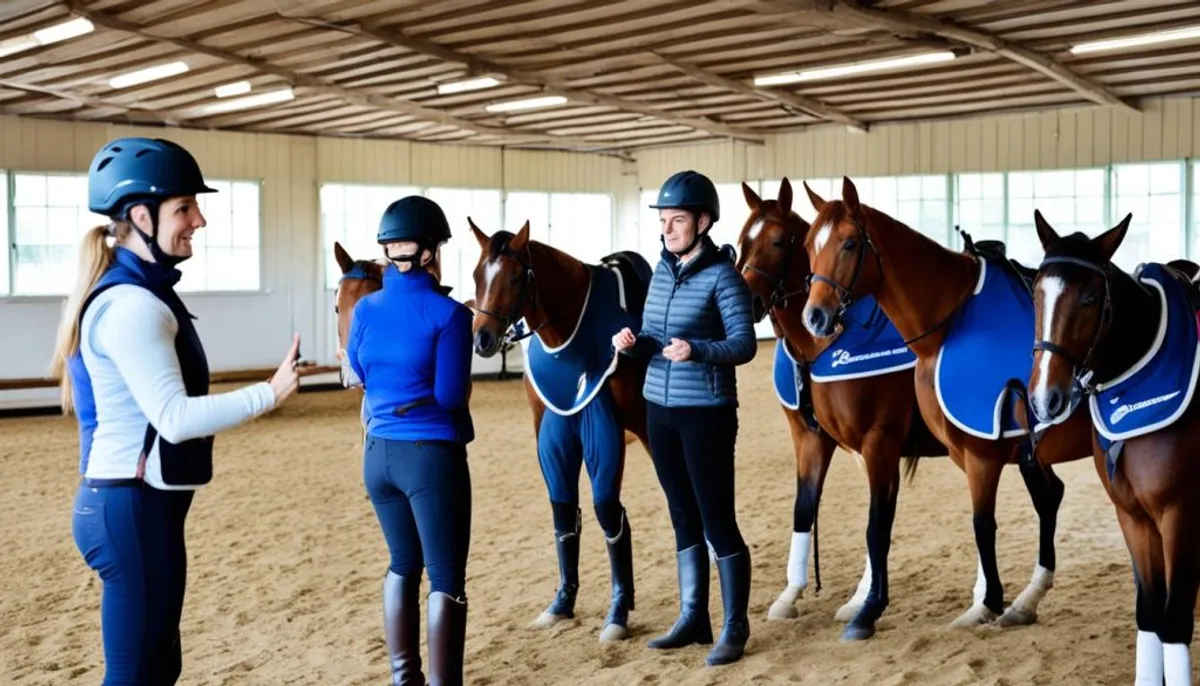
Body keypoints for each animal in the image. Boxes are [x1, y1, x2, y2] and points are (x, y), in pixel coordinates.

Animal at [468, 218, 657, 642]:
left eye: (516, 276)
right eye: (476, 275)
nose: (483, 339)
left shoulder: (611, 433)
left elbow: (610, 516)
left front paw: (618, 613)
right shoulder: (547, 430)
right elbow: (564, 514)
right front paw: (561, 604)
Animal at [729, 179, 945, 642]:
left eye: (778, 241)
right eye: (741, 243)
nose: (745, 301)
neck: (822, 347)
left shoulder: (879, 442)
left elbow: (877, 523)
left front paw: (865, 605)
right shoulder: (813, 438)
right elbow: (805, 508)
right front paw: (791, 596)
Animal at [801, 178, 1094, 633]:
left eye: (849, 243)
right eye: (809, 245)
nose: (814, 316)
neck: (949, 323)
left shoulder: (958, 450)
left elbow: (968, 525)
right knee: (1052, 497)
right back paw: (1026, 602)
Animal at [1022, 212, 1200, 681]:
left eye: (1090, 297)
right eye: (1036, 292)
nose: (1044, 398)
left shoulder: (1181, 514)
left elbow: (1175, 621)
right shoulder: (1133, 517)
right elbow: (1150, 613)